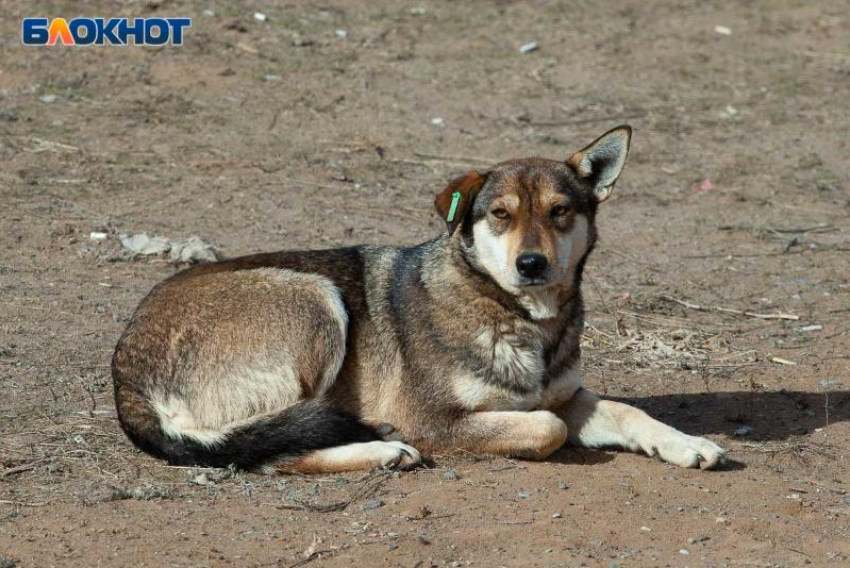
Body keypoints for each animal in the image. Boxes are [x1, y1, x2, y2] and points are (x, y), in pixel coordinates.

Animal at [111, 126, 724, 472]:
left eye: (559, 212)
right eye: (500, 214)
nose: (531, 264)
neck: (518, 317)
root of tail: (124, 371)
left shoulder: (567, 396)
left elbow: (628, 411)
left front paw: (687, 443)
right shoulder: (437, 418)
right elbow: (544, 428)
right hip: (316, 298)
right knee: (268, 452)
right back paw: (383, 449)